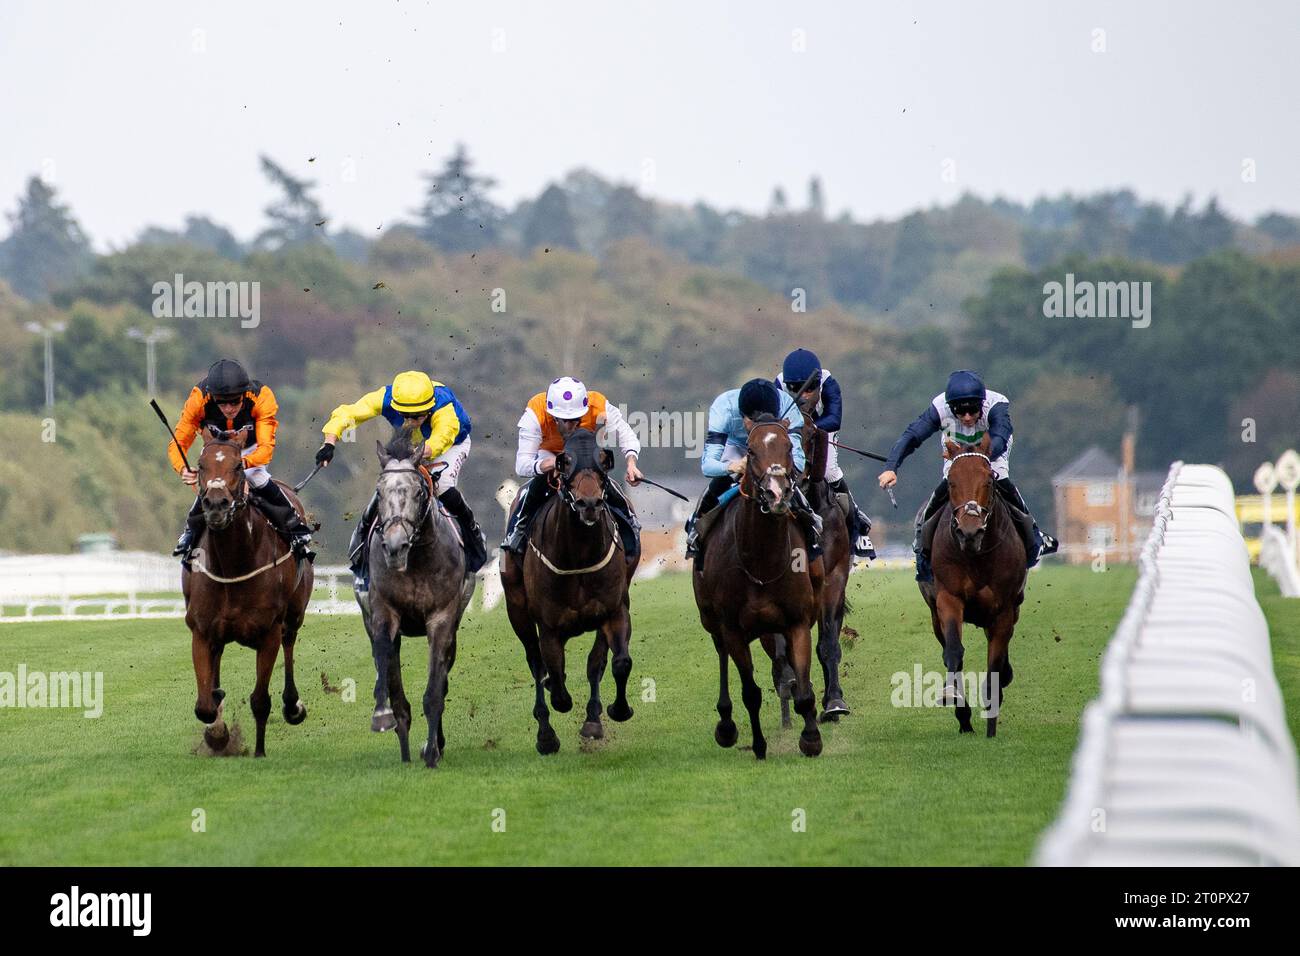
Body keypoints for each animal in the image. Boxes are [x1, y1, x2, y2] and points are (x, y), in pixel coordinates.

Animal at [182, 429, 313, 759]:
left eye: (238, 466)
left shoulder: (268, 632)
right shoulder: (201, 630)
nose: (216, 504)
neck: (233, 565)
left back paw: (293, 705)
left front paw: (259, 751)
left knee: (290, 643)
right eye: (200, 465)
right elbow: (204, 705)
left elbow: (260, 700)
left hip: (294, 614)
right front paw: (217, 734)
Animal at [358, 429, 475, 764]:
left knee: (444, 675)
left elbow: (435, 690)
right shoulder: (383, 614)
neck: (416, 559)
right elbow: (389, 674)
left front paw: (431, 752)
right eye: (379, 493)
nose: (395, 546)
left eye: (419, 493)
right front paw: (385, 718)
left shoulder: (442, 619)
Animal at [499, 431, 637, 754]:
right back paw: (546, 735)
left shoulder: (614, 611)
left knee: (593, 663)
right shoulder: (549, 626)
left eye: (602, 464)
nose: (589, 504)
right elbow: (556, 679)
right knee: (537, 664)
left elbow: (616, 662)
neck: (579, 555)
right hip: (517, 610)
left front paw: (615, 711)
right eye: (565, 465)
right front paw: (556, 704)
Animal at [691, 416, 821, 759]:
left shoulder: (797, 621)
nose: (777, 494)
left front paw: (811, 737)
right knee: (722, 655)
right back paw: (726, 725)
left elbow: (803, 685)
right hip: (711, 621)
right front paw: (760, 746)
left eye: (788, 446)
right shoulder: (733, 628)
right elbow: (750, 692)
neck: (762, 560)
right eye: (750, 450)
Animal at [920, 434, 1029, 738]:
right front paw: (957, 704)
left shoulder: (1004, 609)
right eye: (951, 482)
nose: (970, 532)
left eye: (989, 480)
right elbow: (954, 651)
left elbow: (995, 665)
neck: (976, 555)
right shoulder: (948, 598)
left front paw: (991, 725)